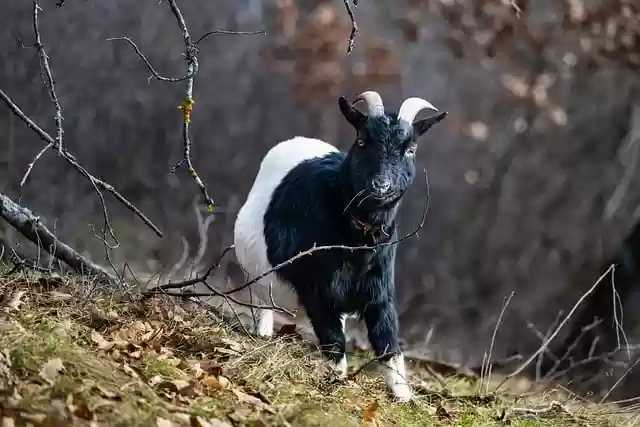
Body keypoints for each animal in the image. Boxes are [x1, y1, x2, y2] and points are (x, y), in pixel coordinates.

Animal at [233, 91, 447, 402]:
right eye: (361, 141)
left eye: (411, 148)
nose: (381, 186)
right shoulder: (315, 288)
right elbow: (334, 342)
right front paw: (335, 383)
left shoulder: (380, 293)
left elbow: (389, 343)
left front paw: (404, 397)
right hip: (257, 278)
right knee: (262, 303)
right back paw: (263, 333)